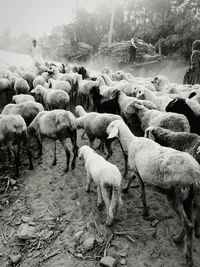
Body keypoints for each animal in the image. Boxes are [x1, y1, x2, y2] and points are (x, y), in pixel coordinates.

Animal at [107, 120, 200, 267]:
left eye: (110, 126)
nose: (105, 132)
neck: (131, 142)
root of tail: (194, 174)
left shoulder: (137, 171)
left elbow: (142, 192)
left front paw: (145, 212)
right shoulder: (137, 170)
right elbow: (132, 178)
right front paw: (126, 189)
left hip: (177, 194)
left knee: (188, 224)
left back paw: (187, 254)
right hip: (191, 197)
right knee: (190, 220)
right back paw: (180, 238)